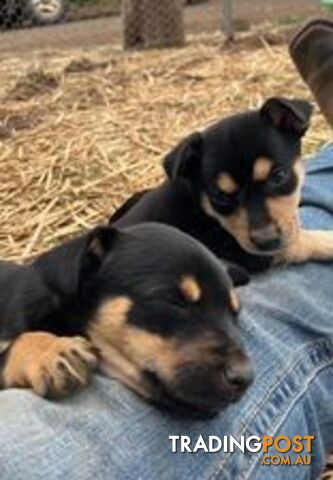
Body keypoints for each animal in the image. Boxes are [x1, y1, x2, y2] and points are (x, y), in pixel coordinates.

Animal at [111, 96, 333, 270]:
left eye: (278, 176)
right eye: (221, 197)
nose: (267, 240)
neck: (201, 209)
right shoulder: (248, 254)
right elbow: (302, 242)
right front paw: (328, 241)